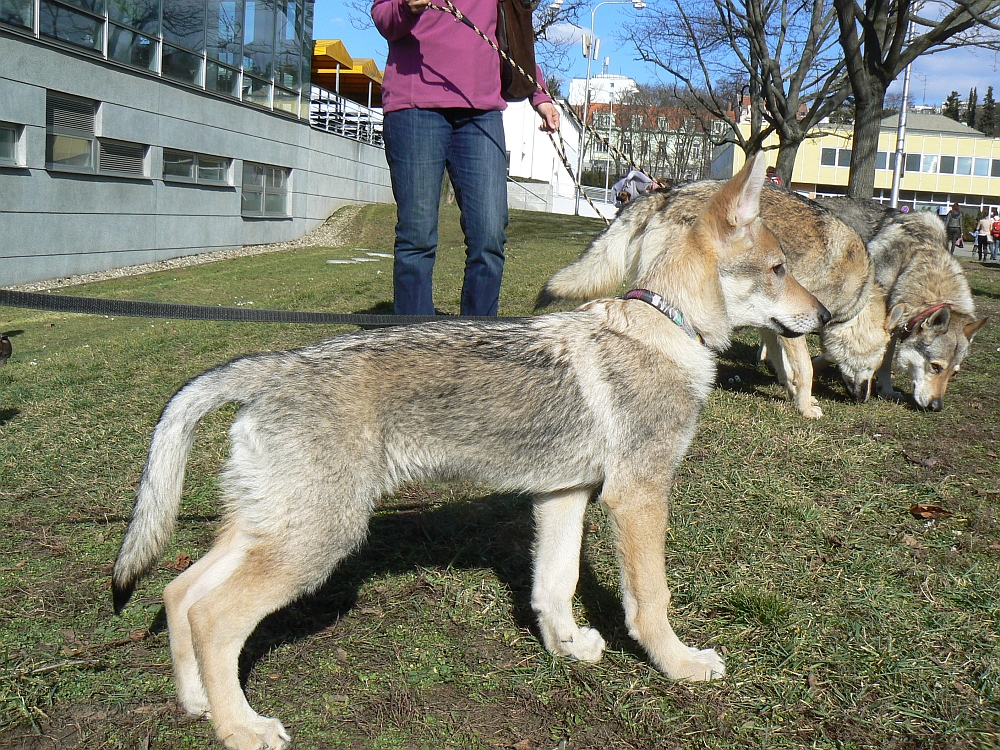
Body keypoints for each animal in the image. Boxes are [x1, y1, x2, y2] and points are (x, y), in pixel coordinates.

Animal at [111, 154, 828, 750]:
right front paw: (679, 665)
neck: (664, 325)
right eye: (779, 270)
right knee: (213, 617)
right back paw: (241, 728)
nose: (824, 316)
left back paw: (199, 704)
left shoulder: (564, 494)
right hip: (315, 542)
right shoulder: (637, 497)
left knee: (178, 592)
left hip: (272, 530)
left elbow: (554, 586)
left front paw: (566, 648)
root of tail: (270, 368)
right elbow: (651, 602)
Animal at [540, 180, 892, 420]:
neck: (856, 295)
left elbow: (782, 363)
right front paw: (805, 406)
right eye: (874, 366)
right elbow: (805, 368)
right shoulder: (796, 324)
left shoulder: (773, 320)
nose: (865, 400)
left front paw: (789, 390)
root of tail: (666, 194)